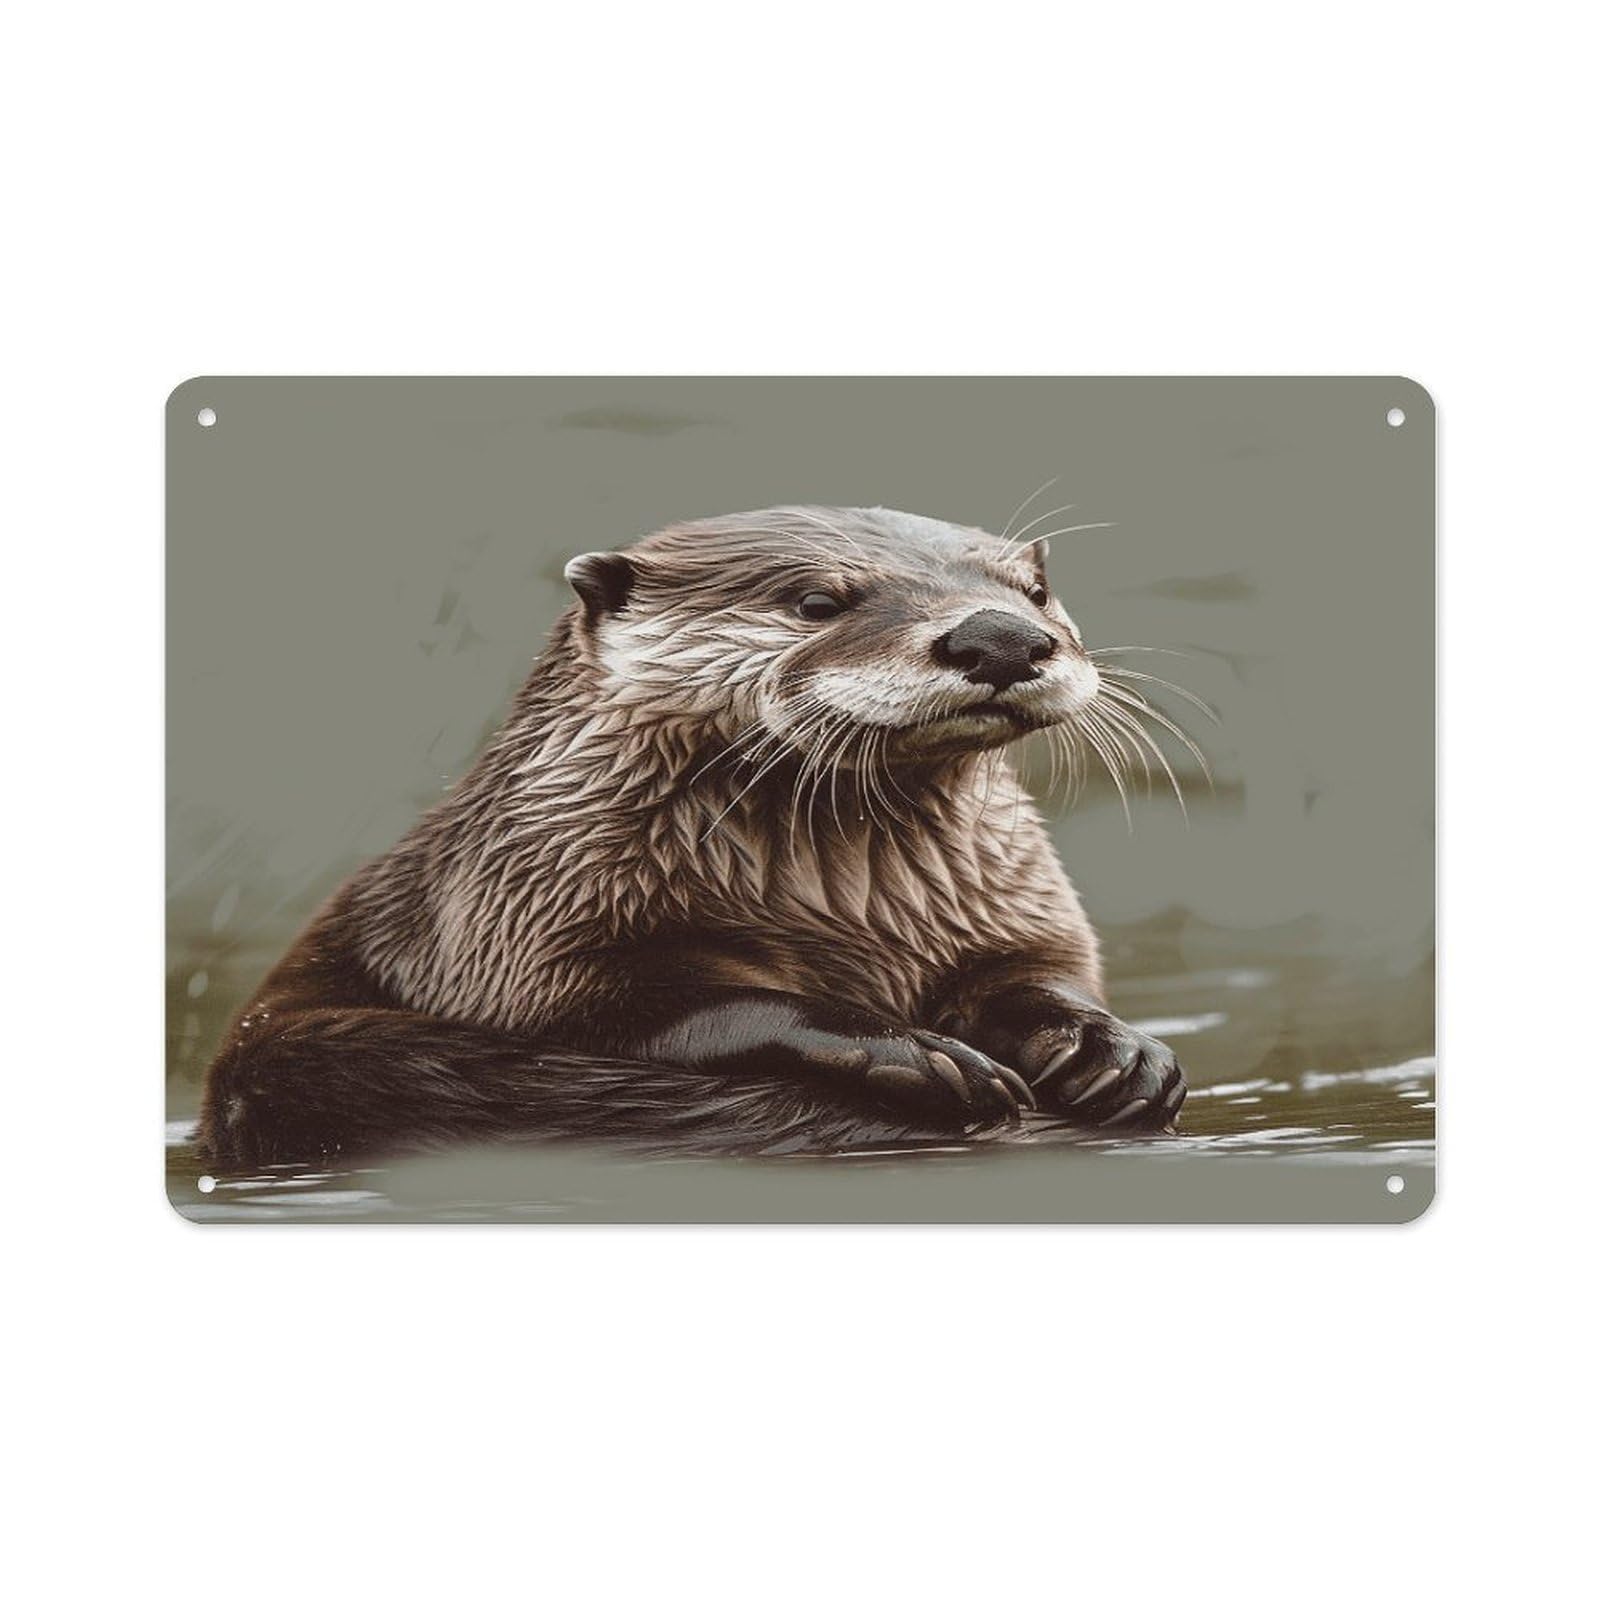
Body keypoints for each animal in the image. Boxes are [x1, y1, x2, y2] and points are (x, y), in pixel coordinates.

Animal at [198, 506, 1188, 1165]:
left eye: (1036, 592)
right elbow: (655, 1005)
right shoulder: (517, 919)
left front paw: (1113, 1047)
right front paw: (911, 1049)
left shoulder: (1009, 902)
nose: (1001, 637)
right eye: (817, 600)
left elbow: (1034, 973)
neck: (848, 913)